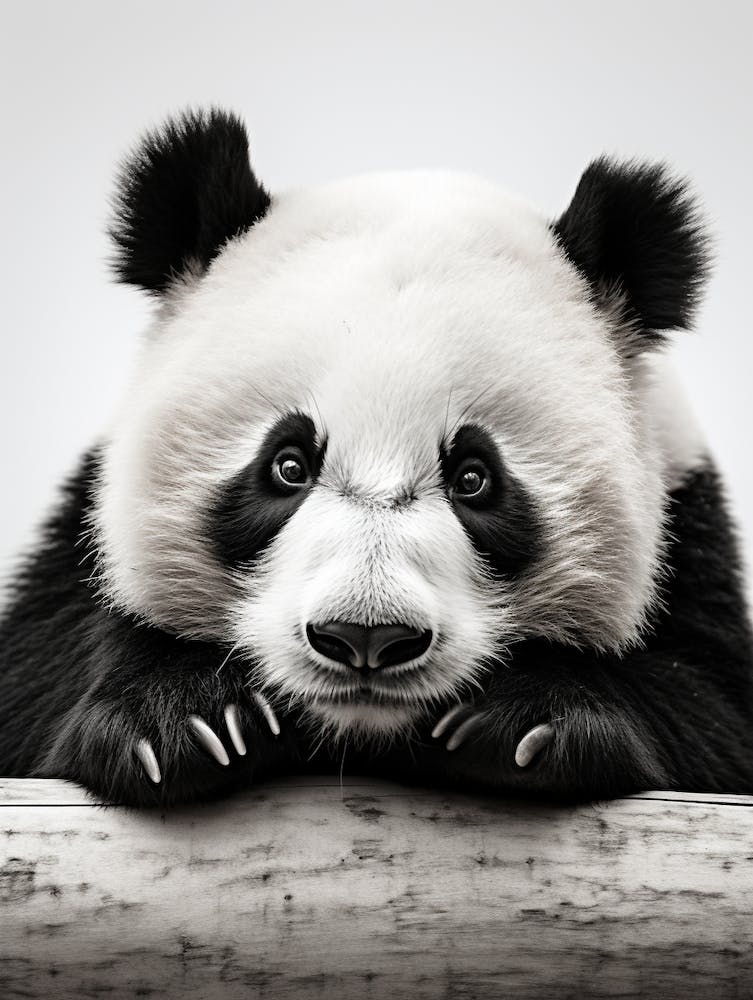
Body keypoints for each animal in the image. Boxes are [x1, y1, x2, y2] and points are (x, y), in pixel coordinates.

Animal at [1, 108, 751, 806]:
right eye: (287, 466)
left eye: (475, 479)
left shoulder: (689, 525)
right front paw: (185, 719)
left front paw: (528, 722)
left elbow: (711, 707)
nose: (366, 638)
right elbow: (36, 678)